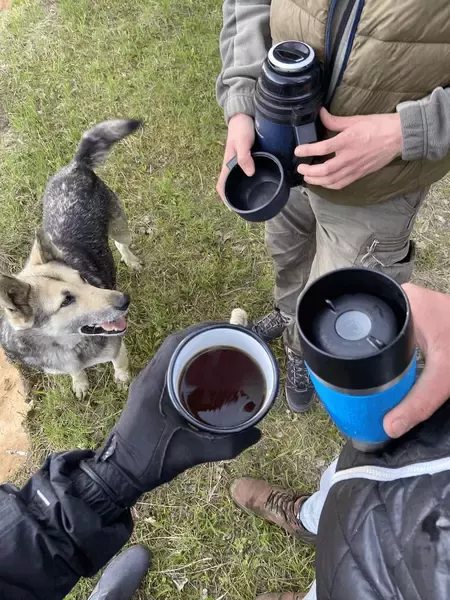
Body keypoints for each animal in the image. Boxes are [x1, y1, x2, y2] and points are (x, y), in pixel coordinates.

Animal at [0, 119, 142, 398]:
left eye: (84, 279)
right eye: (66, 301)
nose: (124, 300)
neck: (65, 345)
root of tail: (76, 166)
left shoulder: (116, 347)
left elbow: (120, 365)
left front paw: (123, 381)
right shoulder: (62, 365)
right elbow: (76, 372)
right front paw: (80, 383)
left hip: (120, 226)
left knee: (122, 243)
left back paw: (131, 260)